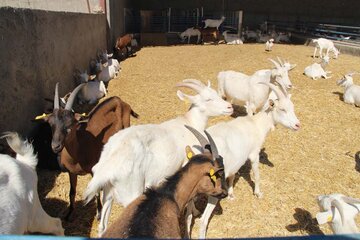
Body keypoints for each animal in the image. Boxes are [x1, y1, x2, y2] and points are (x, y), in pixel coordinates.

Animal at [35, 82, 138, 219]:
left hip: (126, 125)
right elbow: (72, 192)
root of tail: (119, 100)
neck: (78, 154)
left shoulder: (93, 170)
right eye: (51, 124)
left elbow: (96, 191)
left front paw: (99, 213)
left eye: (70, 125)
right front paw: (69, 214)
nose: (55, 146)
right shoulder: (71, 172)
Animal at [83, 79, 232, 236]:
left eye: (216, 93)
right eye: (208, 99)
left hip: (108, 193)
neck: (189, 122)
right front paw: (194, 210)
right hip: (131, 193)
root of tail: (108, 162)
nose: (229, 107)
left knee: (103, 226)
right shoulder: (187, 163)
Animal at [187, 82, 300, 238]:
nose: (297, 125)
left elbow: (233, 175)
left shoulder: (235, 162)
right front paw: (258, 193)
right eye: (282, 109)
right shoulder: (254, 153)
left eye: (292, 107)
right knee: (202, 220)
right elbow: (257, 174)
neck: (256, 124)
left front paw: (231, 194)